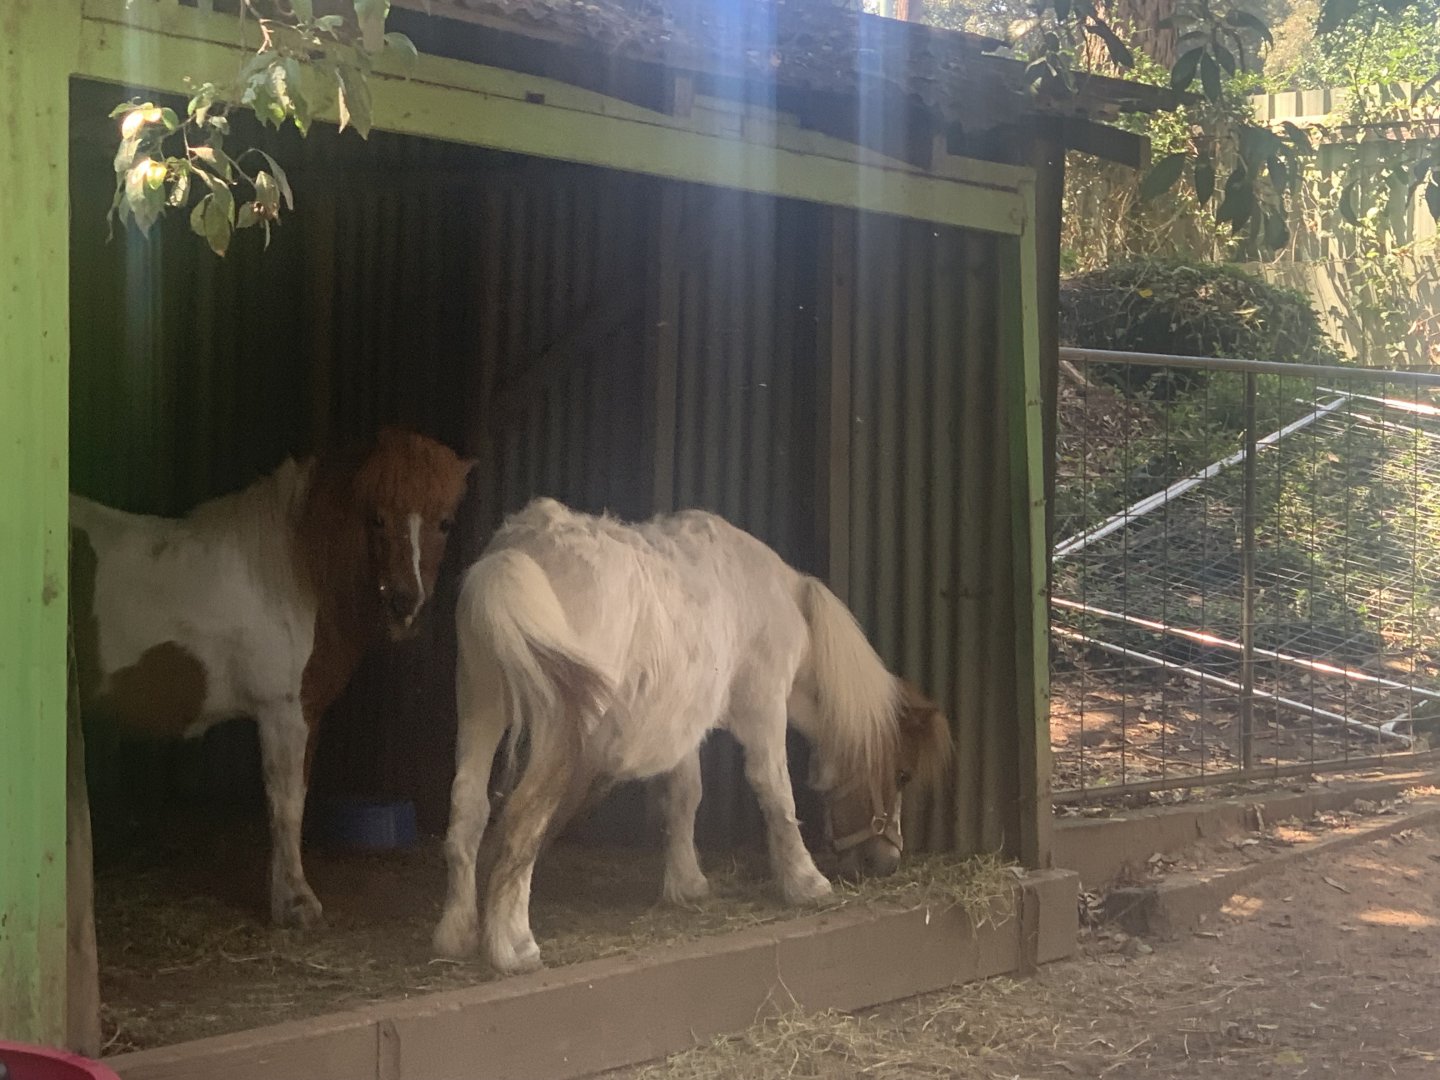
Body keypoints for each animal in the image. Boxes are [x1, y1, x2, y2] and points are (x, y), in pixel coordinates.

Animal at [70, 428, 474, 927]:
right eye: (377, 518)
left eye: (445, 523)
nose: (405, 604)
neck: (294, 573)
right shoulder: (283, 714)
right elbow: (286, 806)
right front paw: (296, 902)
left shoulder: (307, 715)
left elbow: (295, 796)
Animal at [432, 497, 952, 974]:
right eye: (902, 774)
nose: (887, 861)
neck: (775, 597)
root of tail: (517, 551)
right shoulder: (764, 707)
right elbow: (775, 793)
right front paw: (807, 883)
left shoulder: (685, 722)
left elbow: (685, 797)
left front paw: (687, 885)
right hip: (556, 731)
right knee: (524, 819)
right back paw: (514, 948)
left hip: (480, 706)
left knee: (467, 810)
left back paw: (457, 935)